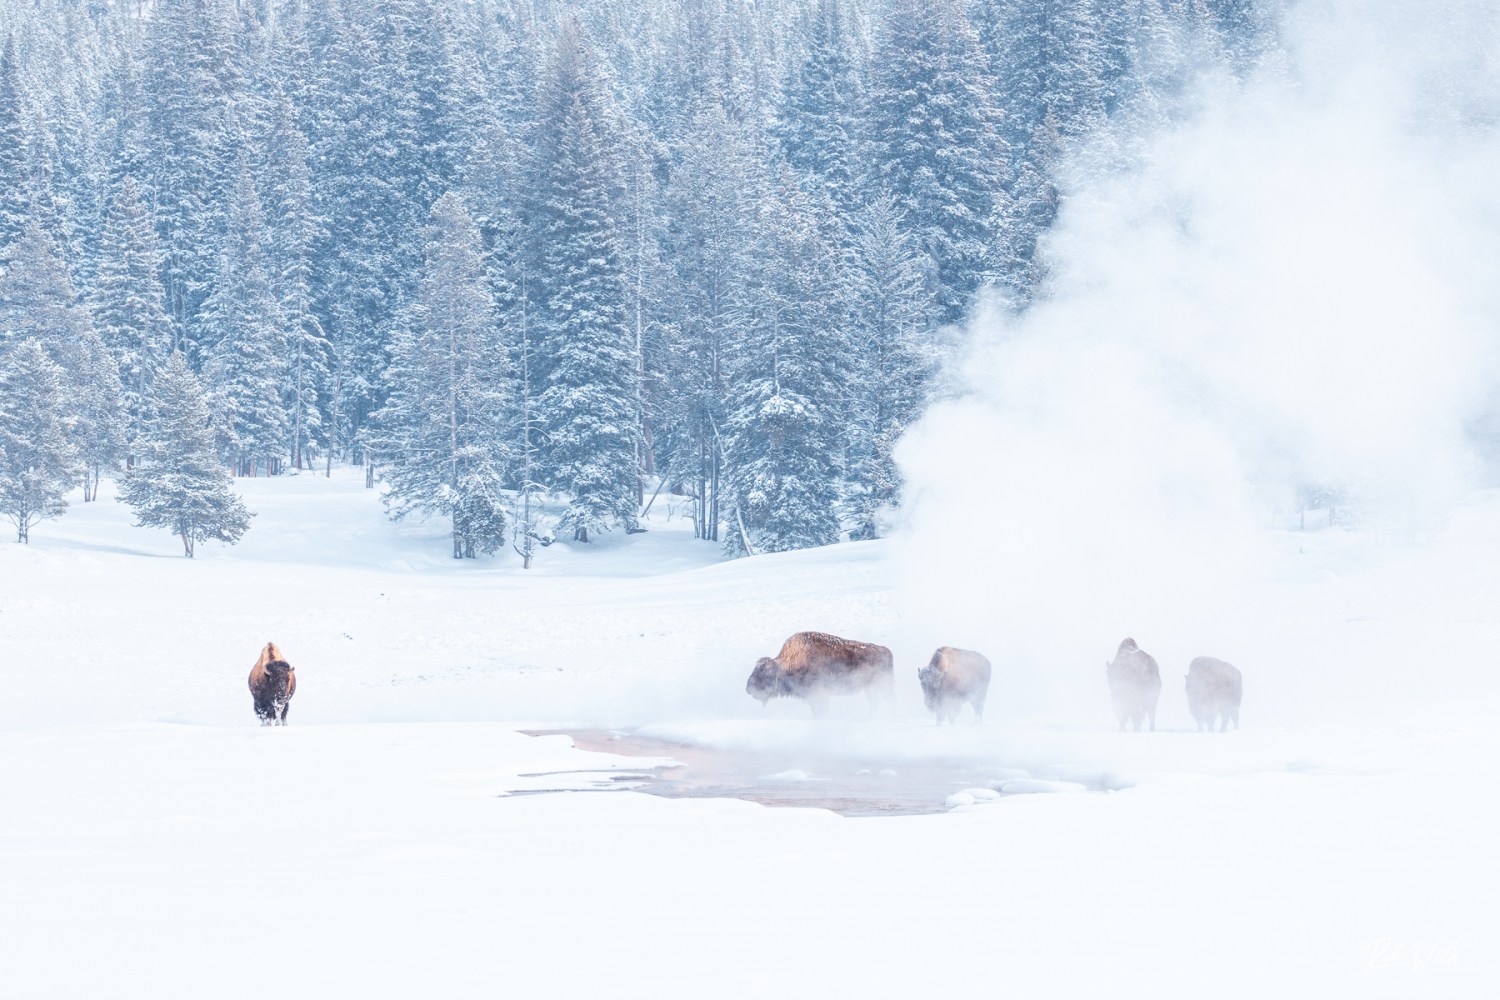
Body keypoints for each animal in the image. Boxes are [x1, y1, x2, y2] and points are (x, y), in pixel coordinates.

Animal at [747, 629, 894, 716]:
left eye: (762, 675)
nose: (748, 689)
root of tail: (885, 650)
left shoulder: (819, 696)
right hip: (871, 688)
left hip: (881, 686)